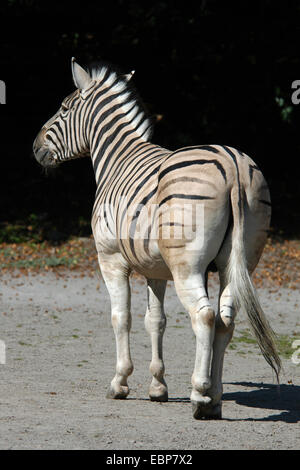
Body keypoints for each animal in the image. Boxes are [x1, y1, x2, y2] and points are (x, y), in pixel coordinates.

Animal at [33, 57, 282, 420]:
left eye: (64, 109)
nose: (35, 147)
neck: (118, 158)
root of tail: (233, 163)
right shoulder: (155, 268)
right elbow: (156, 321)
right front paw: (158, 387)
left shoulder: (111, 259)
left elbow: (121, 318)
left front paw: (120, 383)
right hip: (239, 263)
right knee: (225, 319)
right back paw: (215, 399)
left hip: (187, 266)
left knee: (204, 316)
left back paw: (200, 395)